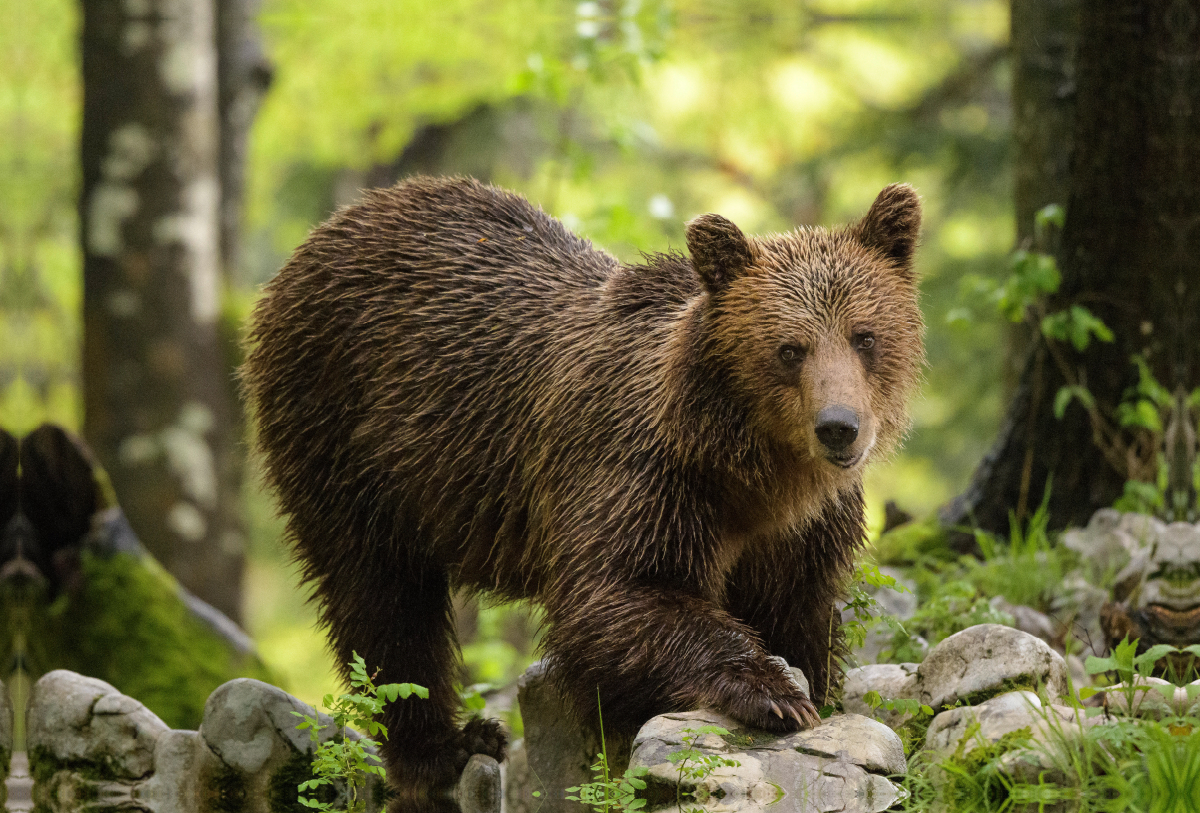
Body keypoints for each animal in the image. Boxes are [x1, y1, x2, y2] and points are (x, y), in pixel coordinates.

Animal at [238, 176, 921, 801]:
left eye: (864, 336)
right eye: (789, 349)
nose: (838, 427)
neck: (754, 472)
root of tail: (337, 225)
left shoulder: (801, 532)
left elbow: (801, 613)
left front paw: (814, 691)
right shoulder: (637, 470)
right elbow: (619, 594)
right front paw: (773, 693)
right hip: (345, 433)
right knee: (380, 594)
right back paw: (447, 748)